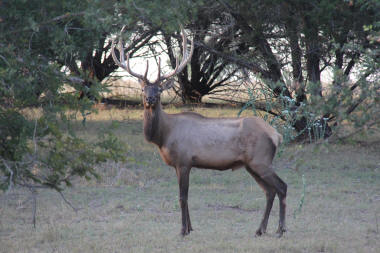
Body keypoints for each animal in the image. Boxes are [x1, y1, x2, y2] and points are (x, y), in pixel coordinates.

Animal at [111, 27, 286, 237]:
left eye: (159, 90)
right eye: (143, 89)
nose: (150, 99)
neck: (163, 136)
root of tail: (277, 135)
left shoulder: (184, 161)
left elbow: (182, 197)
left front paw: (182, 230)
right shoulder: (179, 165)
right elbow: (185, 197)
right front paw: (190, 227)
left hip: (261, 160)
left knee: (281, 187)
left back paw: (281, 229)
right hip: (252, 165)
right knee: (269, 191)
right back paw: (261, 229)